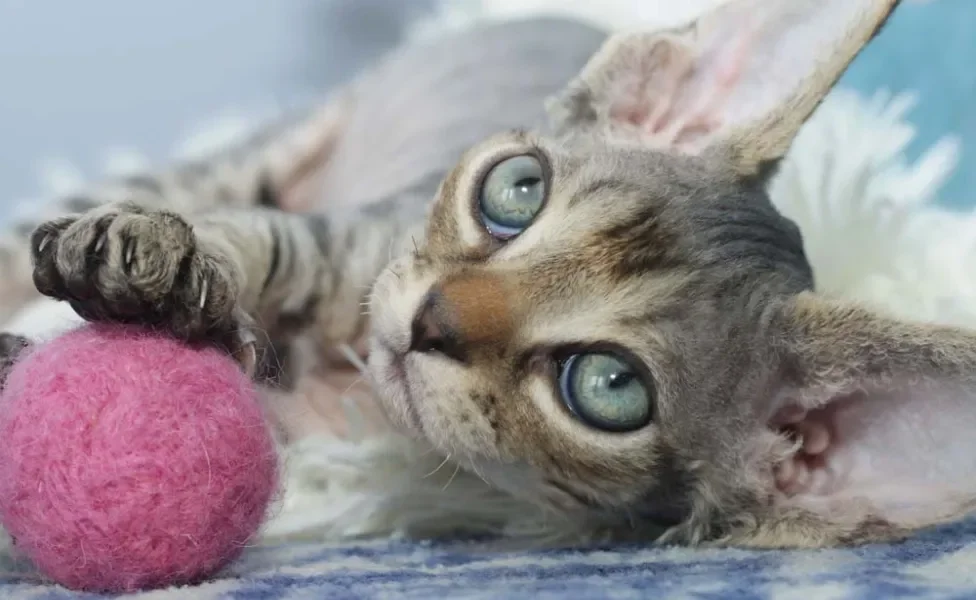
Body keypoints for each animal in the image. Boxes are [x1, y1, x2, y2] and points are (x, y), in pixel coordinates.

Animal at [9, 0, 976, 548]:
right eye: (517, 190)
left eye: (609, 385)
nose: (432, 316)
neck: (342, 384)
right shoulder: (348, 246)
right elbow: (257, 245)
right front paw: (161, 262)